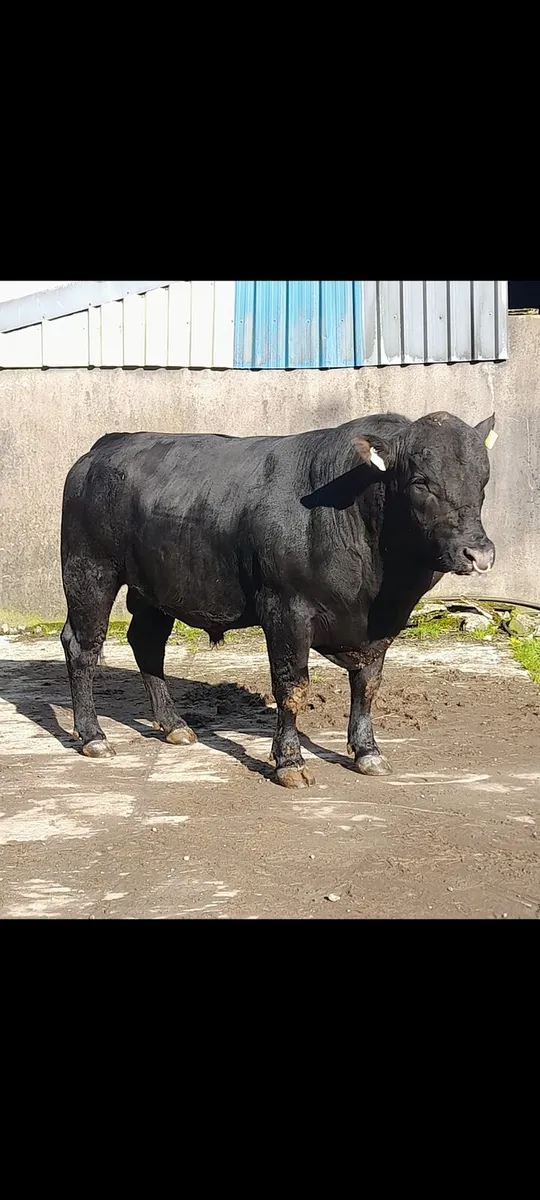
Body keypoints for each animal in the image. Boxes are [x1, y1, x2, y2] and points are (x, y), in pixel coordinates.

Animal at [60, 410, 496, 788]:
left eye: (483, 480)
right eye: (421, 481)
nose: (478, 553)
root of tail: (105, 445)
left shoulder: (381, 626)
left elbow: (367, 685)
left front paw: (367, 752)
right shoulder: (287, 611)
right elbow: (292, 688)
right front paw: (290, 762)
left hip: (155, 587)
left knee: (147, 644)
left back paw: (175, 725)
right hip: (89, 571)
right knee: (83, 647)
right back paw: (93, 736)